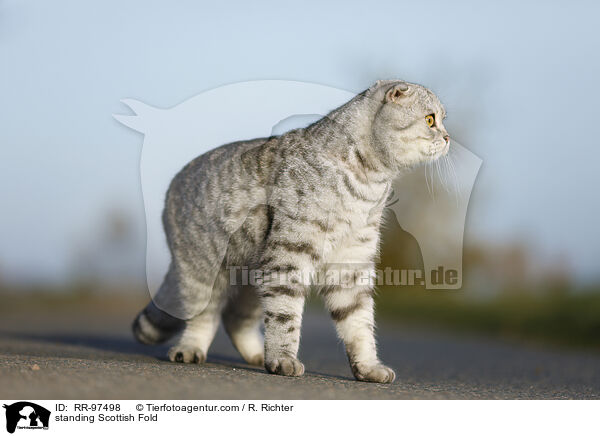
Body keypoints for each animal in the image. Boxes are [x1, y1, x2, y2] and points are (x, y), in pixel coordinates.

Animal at [132, 80, 450, 384]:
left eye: (441, 120)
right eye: (431, 120)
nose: (448, 138)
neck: (370, 182)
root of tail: (174, 183)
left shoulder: (352, 262)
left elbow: (359, 322)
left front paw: (368, 367)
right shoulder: (289, 255)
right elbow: (286, 315)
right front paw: (284, 359)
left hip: (250, 278)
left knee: (236, 319)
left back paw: (257, 354)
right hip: (203, 273)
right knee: (204, 316)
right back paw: (191, 349)